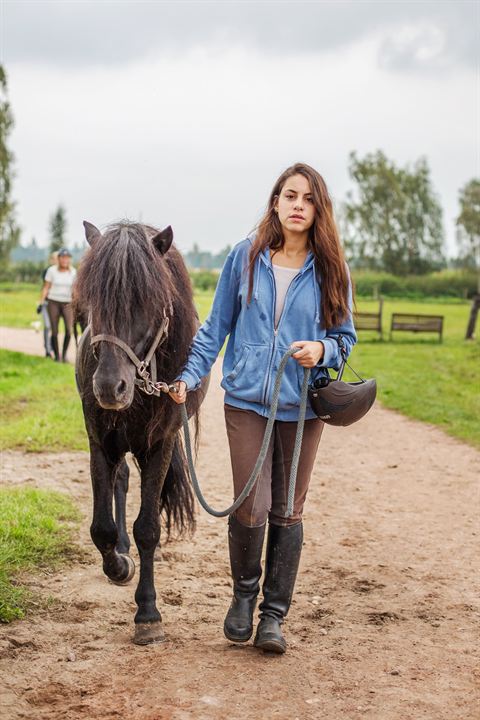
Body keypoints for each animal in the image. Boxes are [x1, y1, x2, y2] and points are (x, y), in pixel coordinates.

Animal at [74, 221, 207, 648]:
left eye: (147, 302)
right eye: (93, 303)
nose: (108, 387)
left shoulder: (159, 445)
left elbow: (148, 528)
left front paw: (148, 614)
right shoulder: (101, 444)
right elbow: (101, 528)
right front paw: (118, 563)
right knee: (120, 480)